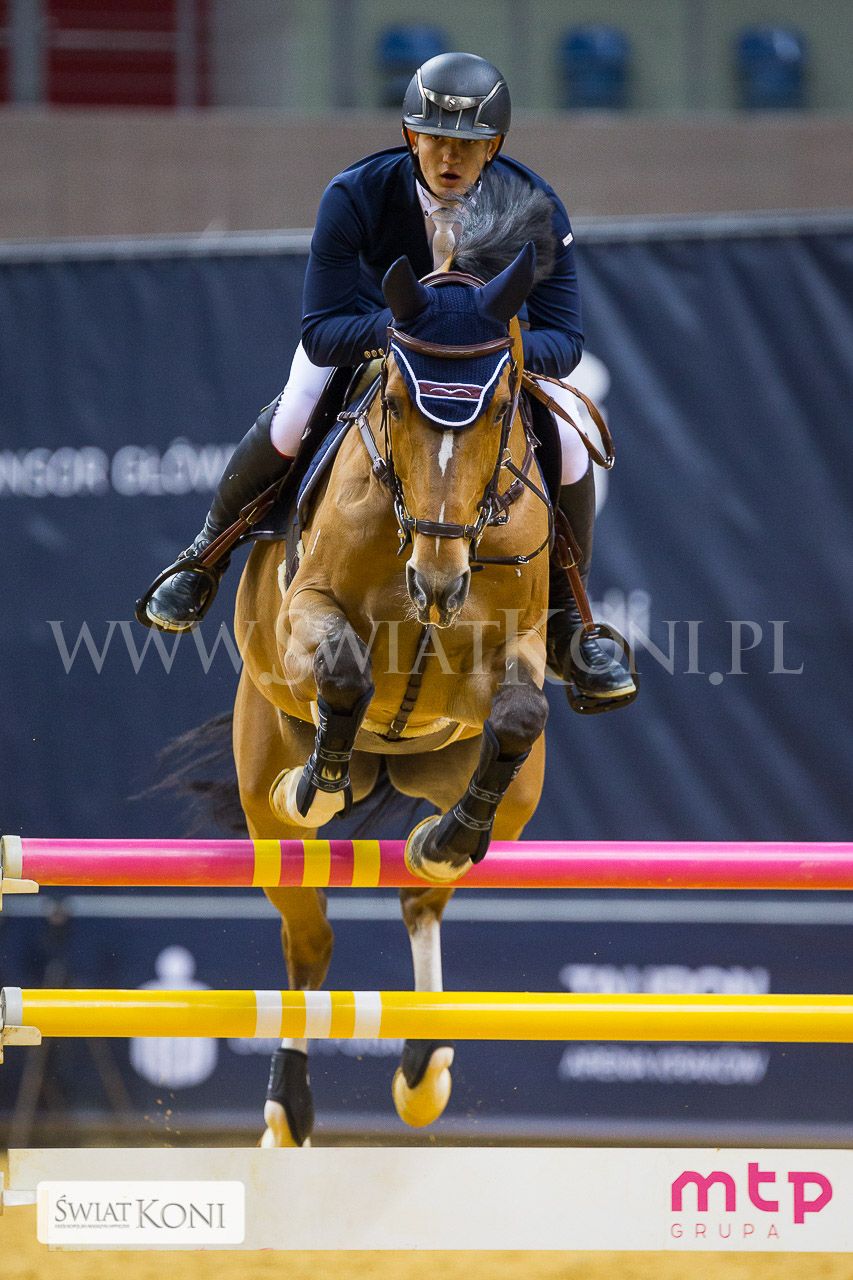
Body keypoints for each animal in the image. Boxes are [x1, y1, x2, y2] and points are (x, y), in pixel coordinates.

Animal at [222, 188, 560, 1146]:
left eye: (497, 407)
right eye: (402, 405)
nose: (437, 581)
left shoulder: (513, 649)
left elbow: (519, 713)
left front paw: (447, 838)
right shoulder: (305, 614)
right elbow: (343, 672)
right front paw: (317, 784)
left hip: (503, 792)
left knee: (423, 893)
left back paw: (423, 1059)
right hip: (261, 798)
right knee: (308, 942)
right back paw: (287, 1108)